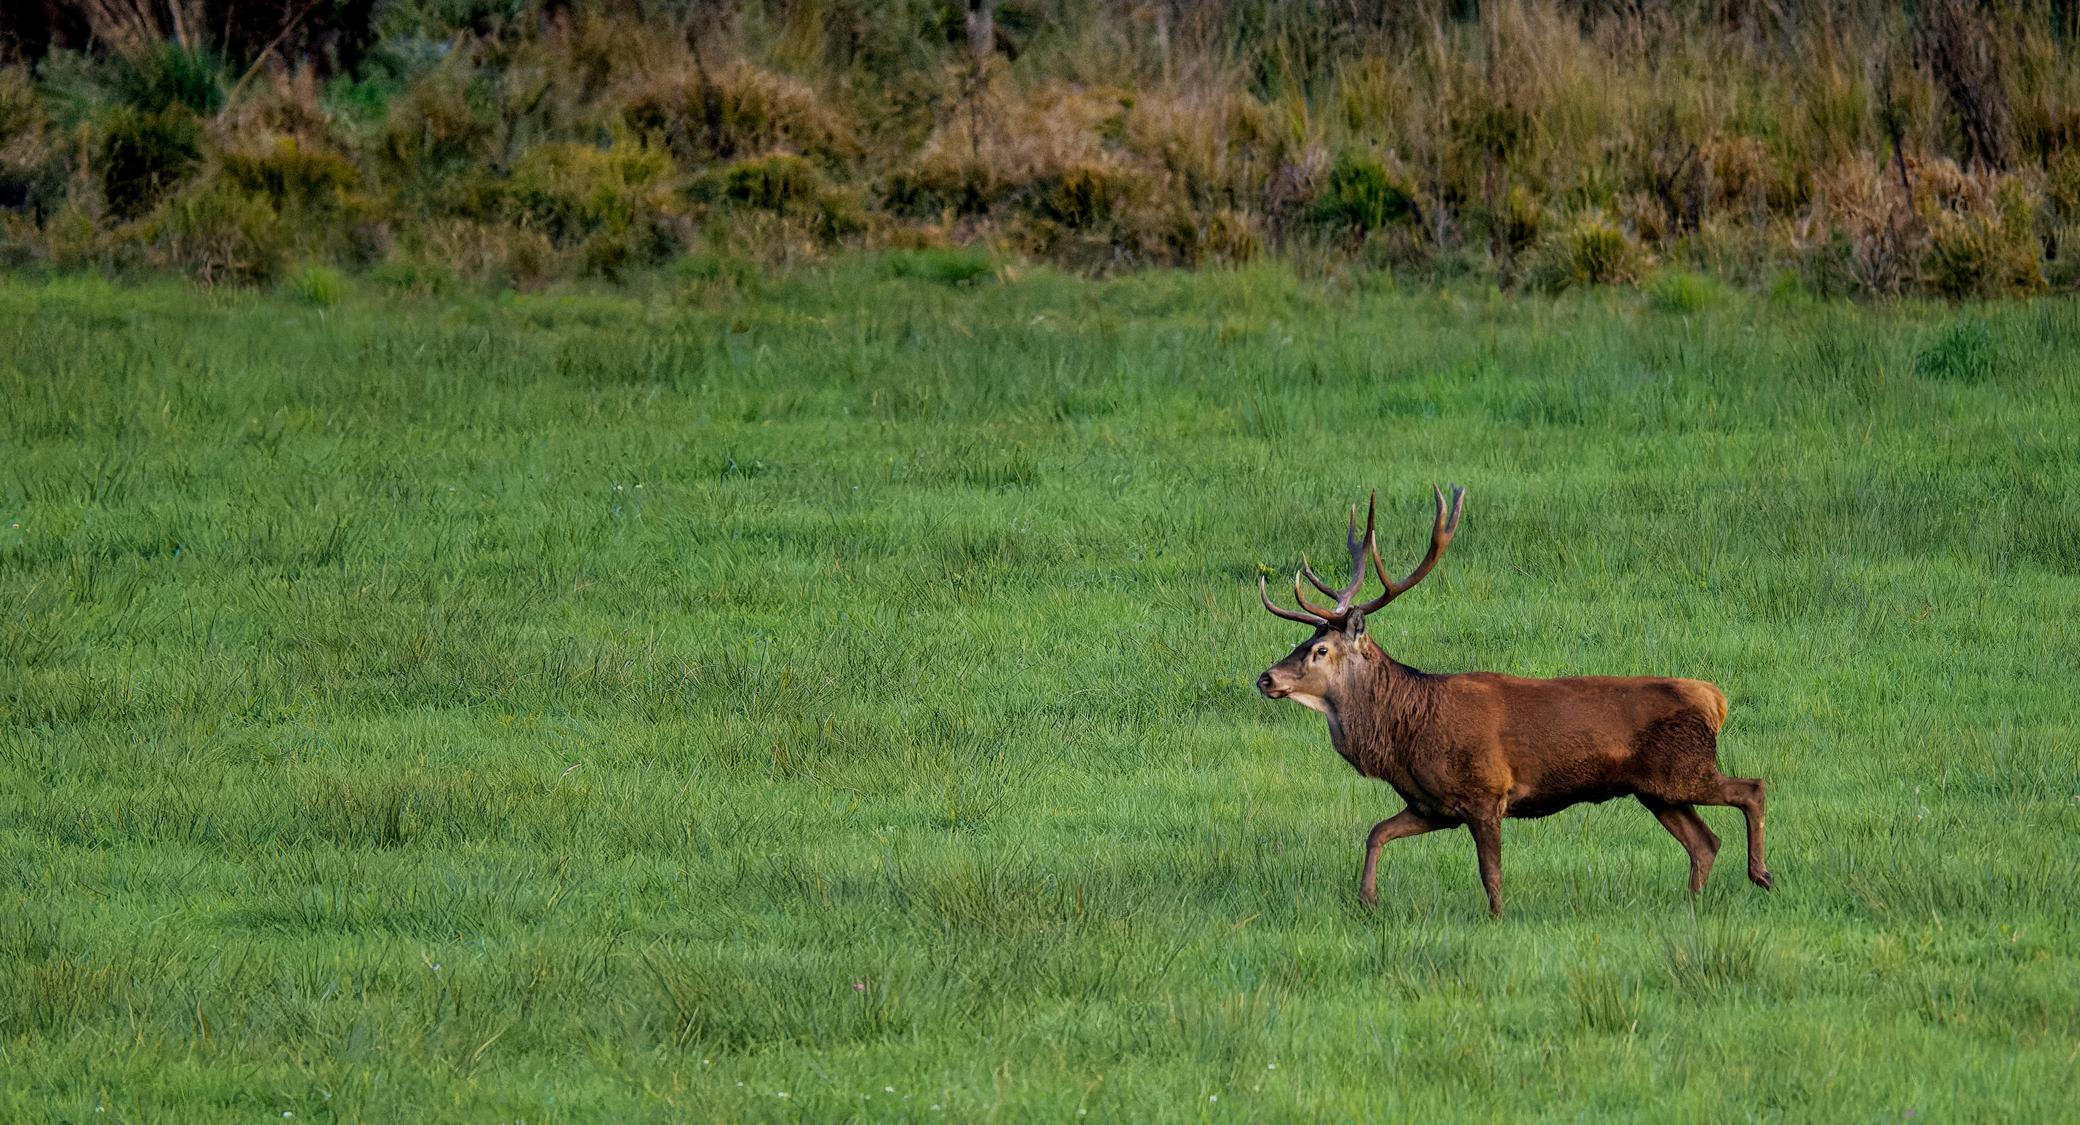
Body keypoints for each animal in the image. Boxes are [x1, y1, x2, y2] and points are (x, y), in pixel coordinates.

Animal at [1254, 486, 1772, 917]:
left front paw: (1498, 919)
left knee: (1752, 788)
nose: (1265, 678)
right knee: (1704, 842)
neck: (1407, 732)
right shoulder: (1432, 805)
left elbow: (1491, 874)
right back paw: (1693, 902)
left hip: (1683, 768)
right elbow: (1376, 831)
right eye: (1304, 641)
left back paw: (1760, 874)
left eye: (1321, 650)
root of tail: (1715, 700)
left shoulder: (1486, 792)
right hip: (1657, 789)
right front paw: (1367, 900)